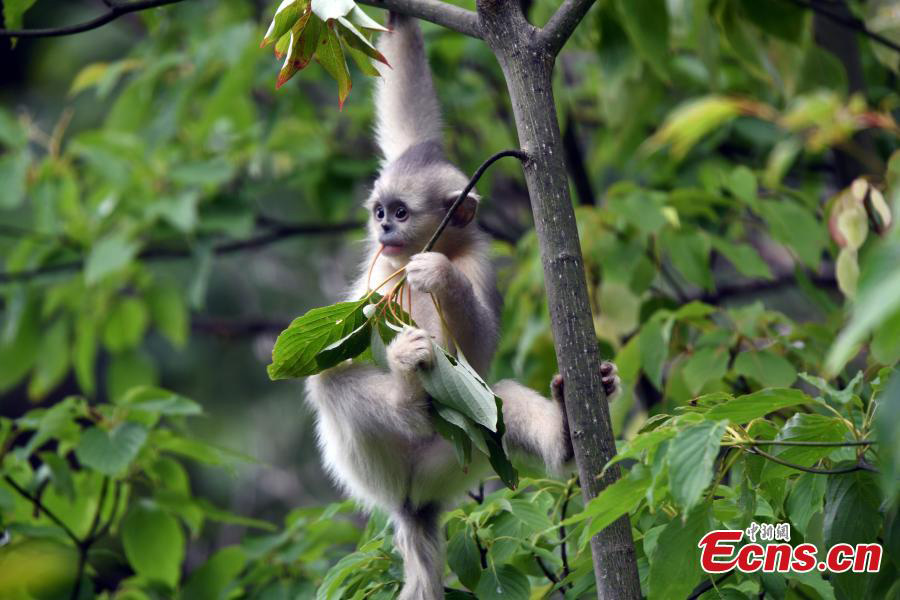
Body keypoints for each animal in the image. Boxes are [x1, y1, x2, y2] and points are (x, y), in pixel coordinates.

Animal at [303, 14, 619, 600]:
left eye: (401, 213)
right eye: (380, 211)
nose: (383, 229)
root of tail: (411, 504)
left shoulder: (479, 264)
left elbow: (475, 350)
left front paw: (438, 277)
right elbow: (411, 125)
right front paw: (400, 18)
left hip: (456, 457)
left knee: (496, 399)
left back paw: (566, 429)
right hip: (379, 466)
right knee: (328, 378)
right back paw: (406, 391)